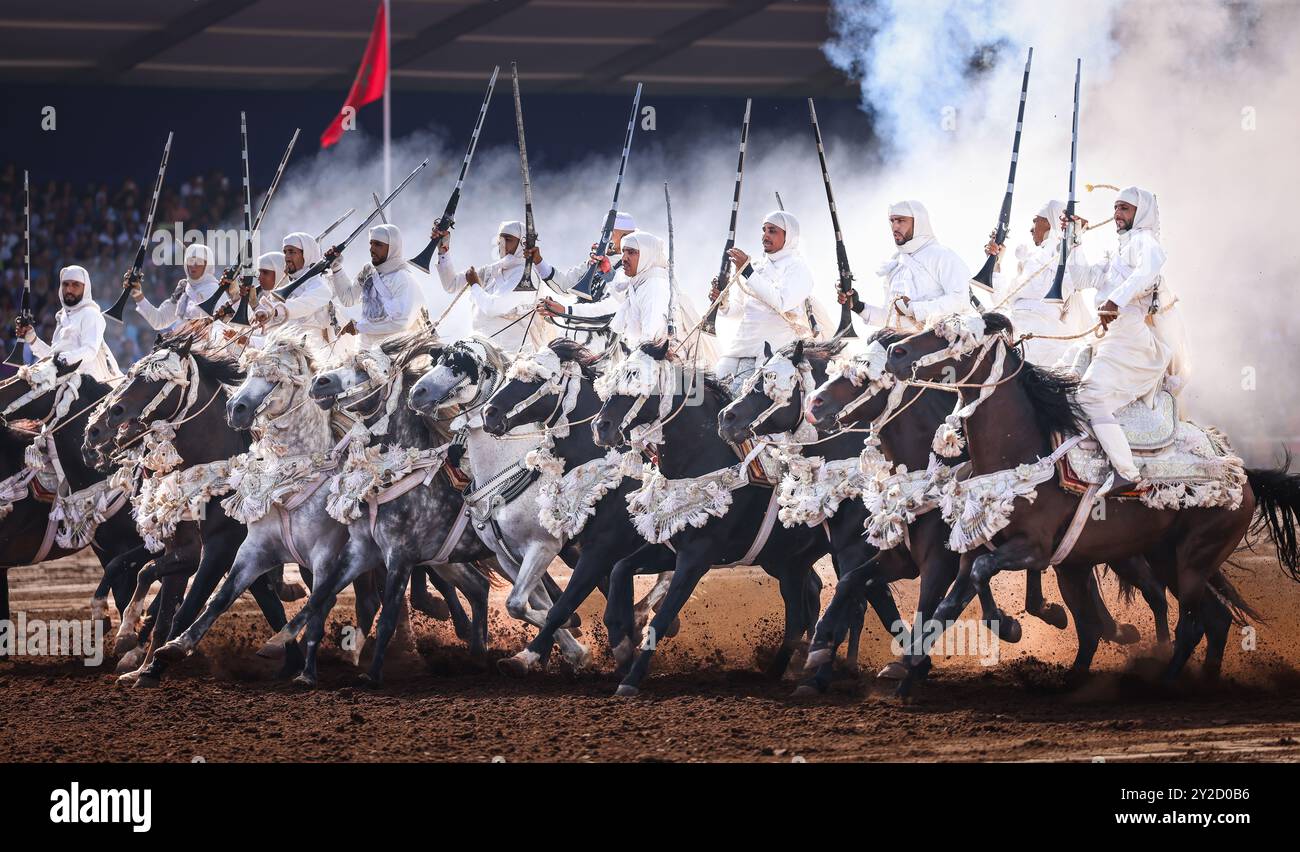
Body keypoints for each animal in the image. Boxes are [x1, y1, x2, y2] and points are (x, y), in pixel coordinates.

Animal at [595, 343, 826, 697]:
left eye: (636, 379)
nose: (601, 426)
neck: (700, 458)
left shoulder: (696, 557)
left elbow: (662, 618)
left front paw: (631, 678)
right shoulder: (670, 546)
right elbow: (621, 569)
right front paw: (621, 645)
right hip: (786, 561)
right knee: (805, 602)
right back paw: (789, 667)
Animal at [883, 313, 1289, 686]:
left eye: (951, 334)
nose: (894, 352)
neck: (1020, 453)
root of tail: (1242, 474)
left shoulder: (1034, 550)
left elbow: (983, 576)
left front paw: (1012, 626)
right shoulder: (977, 549)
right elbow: (947, 604)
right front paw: (908, 668)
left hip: (1192, 560)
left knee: (1193, 624)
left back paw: (1165, 683)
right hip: (1166, 558)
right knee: (1214, 619)